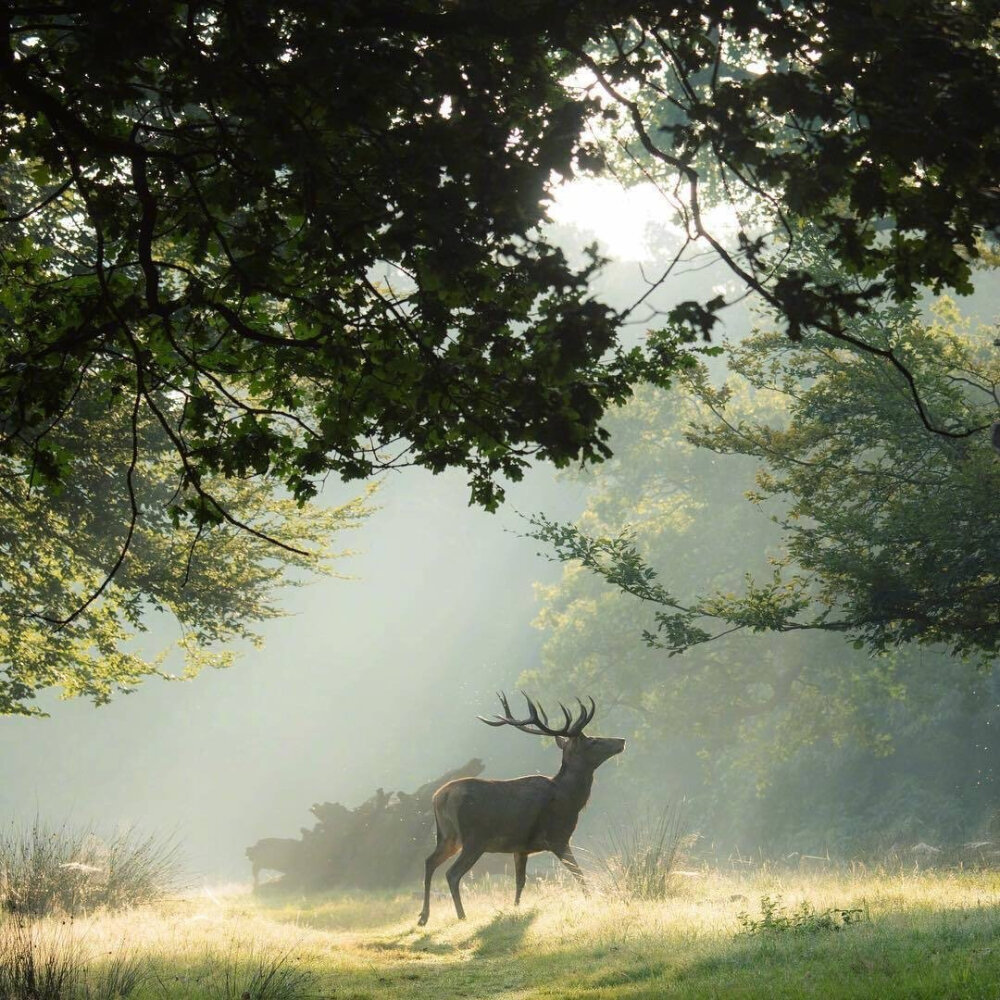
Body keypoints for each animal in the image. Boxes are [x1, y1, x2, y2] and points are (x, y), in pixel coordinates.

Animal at [416, 692, 624, 924]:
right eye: (594, 741)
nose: (621, 741)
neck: (570, 798)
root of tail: (439, 797)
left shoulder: (521, 847)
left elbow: (520, 881)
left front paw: (515, 909)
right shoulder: (558, 837)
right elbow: (578, 872)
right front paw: (591, 900)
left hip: (447, 837)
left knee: (429, 862)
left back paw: (424, 916)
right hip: (474, 839)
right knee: (451, 873)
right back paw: (461, 916)